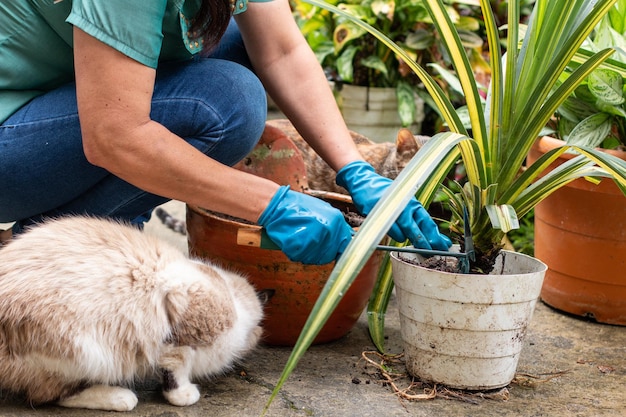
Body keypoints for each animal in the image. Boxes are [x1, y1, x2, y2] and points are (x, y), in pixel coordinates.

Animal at [0, 216, 266, 412]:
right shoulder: (178, 331)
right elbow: (176, 372)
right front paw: (183, 395)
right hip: (87, 353)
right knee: (49, 396)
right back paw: (121, 397)